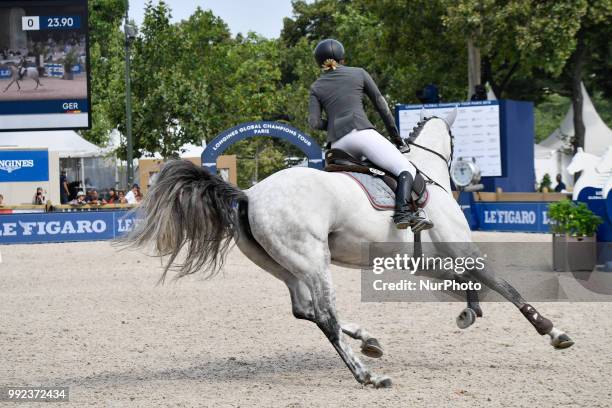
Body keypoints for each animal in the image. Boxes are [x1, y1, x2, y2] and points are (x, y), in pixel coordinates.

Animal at [124, 112, 572, 388]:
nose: (469, 174)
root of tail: (249, 193)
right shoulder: (458, 249)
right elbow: (503, 284)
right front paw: (552, 331)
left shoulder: (426, 262)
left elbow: (469, 281)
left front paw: (470, 311)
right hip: (313, 260)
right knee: (324, 316)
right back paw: (367, 375)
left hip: (285, 266)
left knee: (304, 310)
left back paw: (367, 340)